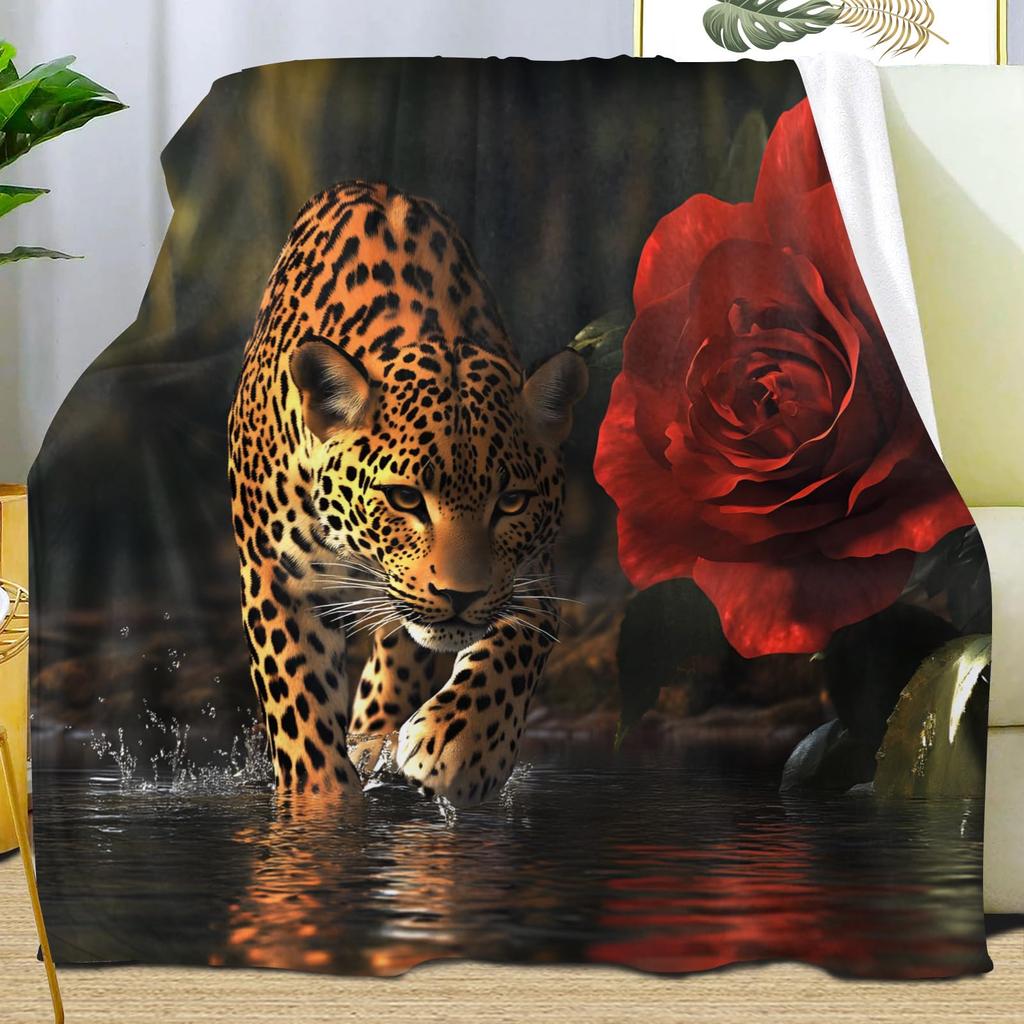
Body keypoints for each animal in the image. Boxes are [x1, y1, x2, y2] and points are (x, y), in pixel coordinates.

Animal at [228, 180, 587, 806]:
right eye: (404, 499)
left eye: (510, 503)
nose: (461, 596)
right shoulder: (274, 575)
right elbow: (298, 708)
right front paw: (319, 803)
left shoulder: (529, 576)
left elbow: (508, 652)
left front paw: (460, 746)